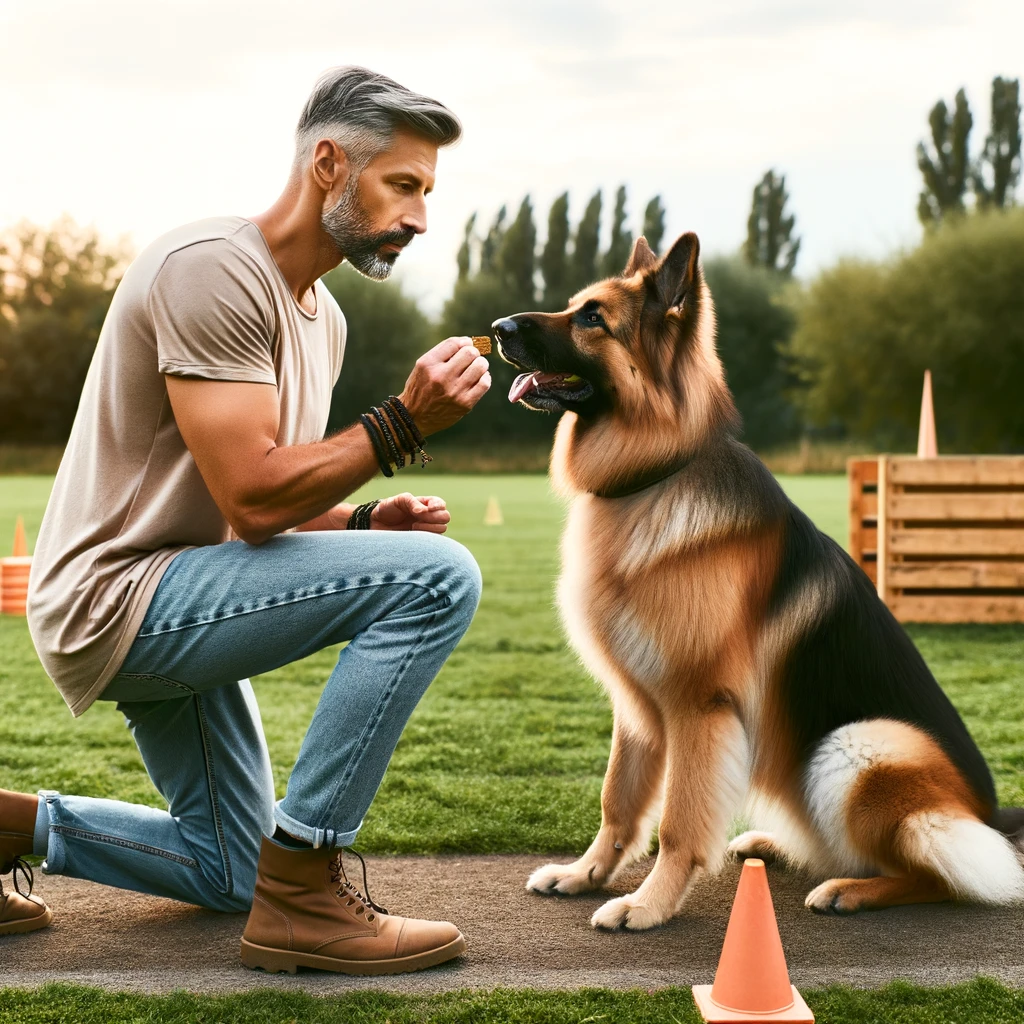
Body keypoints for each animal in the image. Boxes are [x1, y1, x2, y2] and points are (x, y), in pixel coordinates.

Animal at [493, 232, 1024, 929]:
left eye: (592, 318)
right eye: (574, 306)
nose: (497, 328)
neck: (657, 471)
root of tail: (986, 816)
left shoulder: (698, 707)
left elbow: (677, 822)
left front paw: (648, 905)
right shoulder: (635, 708)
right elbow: (617, 801)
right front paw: (586, 875)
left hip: (859, 747)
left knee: (934, 872)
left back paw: (852, 890)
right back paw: (774, 846)